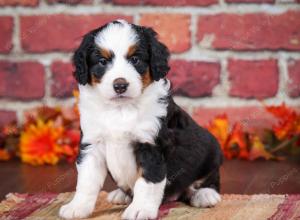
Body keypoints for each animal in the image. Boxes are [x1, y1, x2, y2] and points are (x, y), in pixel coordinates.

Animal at [59, 19, 223, 219]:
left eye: (135, 59)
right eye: (102, 62)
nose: (120, 85)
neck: (120, 109)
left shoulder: (151, 145)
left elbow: (147, 182)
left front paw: (140, 209)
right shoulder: (92, 143)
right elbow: (86, 180)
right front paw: (77, 207)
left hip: (212, 149)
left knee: (209, 179)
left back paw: (205, 195)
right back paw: (121, 195)